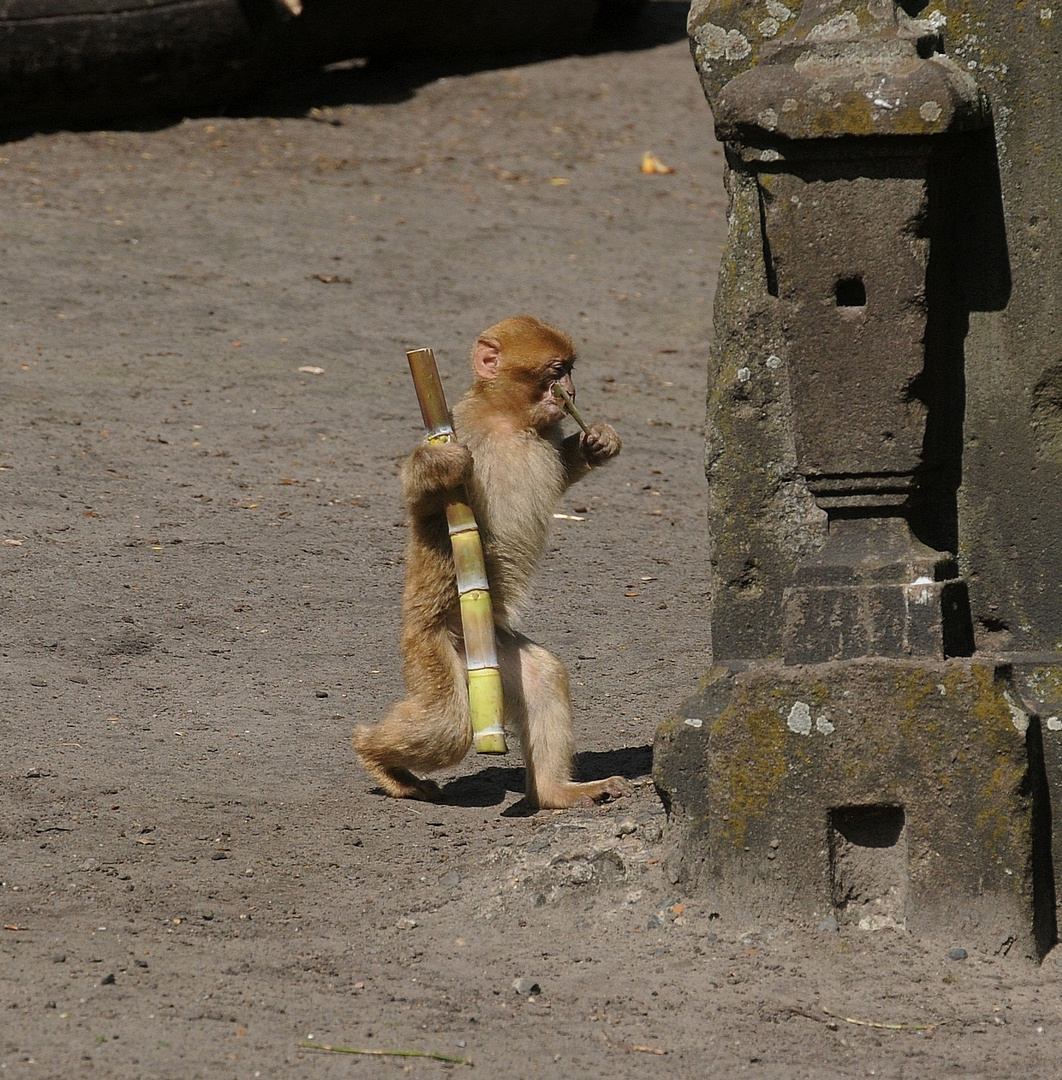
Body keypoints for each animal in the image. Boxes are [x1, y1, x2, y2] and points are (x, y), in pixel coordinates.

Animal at [352, 315, 626, 807]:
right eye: (557, 371)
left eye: (569, 371)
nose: (571, 392)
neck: (507, 421)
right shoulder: (462, 428)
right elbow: (422, 499)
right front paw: (437, 463)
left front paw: (597, 441)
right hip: (430, 647)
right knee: (446, 727)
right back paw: (375, 757)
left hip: (495, 654)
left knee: (542, 678)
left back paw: (555, 793)